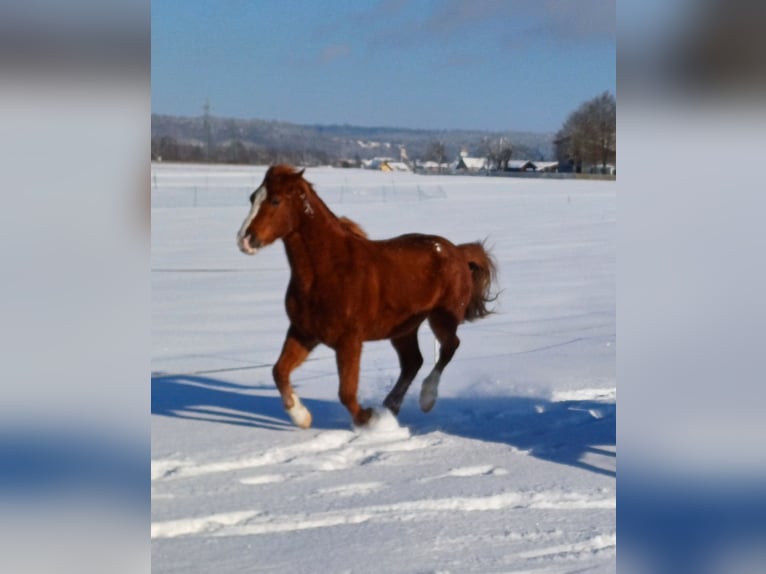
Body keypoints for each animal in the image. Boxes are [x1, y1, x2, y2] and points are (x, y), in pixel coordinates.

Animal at [236, 165, 497, 428]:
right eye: (252, 198)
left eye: (275, 200)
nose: (245, 240)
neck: (326, 271)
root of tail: (458, 252)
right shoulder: (303, 333)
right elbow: (279, 371)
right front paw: (301, 416)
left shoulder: (349, 341)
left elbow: (346, 392)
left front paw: (368, 420)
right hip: (404, 330)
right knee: (413, 362)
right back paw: (390, 406)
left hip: (441, 319)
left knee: (449, 347)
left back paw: (426, 399)